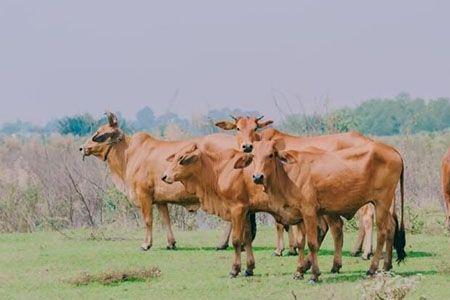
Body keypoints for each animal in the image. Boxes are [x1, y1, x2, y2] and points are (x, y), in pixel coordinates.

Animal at [79, 112, 244, 251]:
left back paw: (225, 244)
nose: (82, 148)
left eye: (101, 134)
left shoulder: (144, 194)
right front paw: (171, 243)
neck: (128, 154)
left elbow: (148, 220)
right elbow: (166, 220)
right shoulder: (160, 200)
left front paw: (146, 244)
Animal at [162, 142, 344, 276]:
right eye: (174, 157)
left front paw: (235, 270)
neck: (220, 168)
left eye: (181, 159)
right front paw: (249, 268)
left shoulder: (237, 208)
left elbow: (237, 240)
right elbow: (247, 238)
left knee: (330, 229)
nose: (164, 176)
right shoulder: (248, 211)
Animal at [214, 116, 376, 258]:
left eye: (255, 128)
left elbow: (280, 223)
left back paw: (365, 252)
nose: (247, 146)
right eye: (238, 128)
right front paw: (293, 248)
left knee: (367, 217)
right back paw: (360, 250)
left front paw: (281, 249)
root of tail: (367, 140)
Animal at [239, 140, 408, 282]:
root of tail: (392, 150)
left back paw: (372, 269)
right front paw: (299, 271)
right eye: (253, 156)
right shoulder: (300, 216)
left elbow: (312, 243)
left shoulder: (309, 212)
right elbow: (300, 243)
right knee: (391, 228)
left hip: (381, 203)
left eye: (270, 155)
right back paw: (386, 266)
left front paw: (314, 274)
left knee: (382, 233)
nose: (257, 177)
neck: (289, 174)